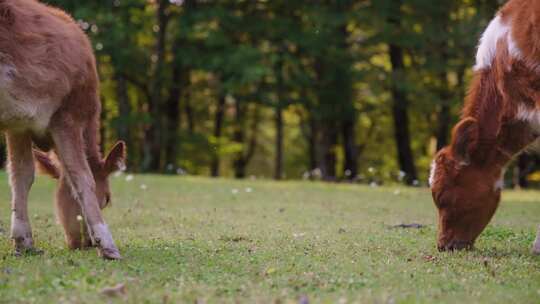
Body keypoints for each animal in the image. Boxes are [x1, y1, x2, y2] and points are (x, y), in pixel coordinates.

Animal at [0, 1, 124, 260]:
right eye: (107, 199)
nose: (86, 243)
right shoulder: (67, 117)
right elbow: (83, 177)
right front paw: (107, 244)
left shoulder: (18, 124)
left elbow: (21, 174)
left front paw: (23, 242)